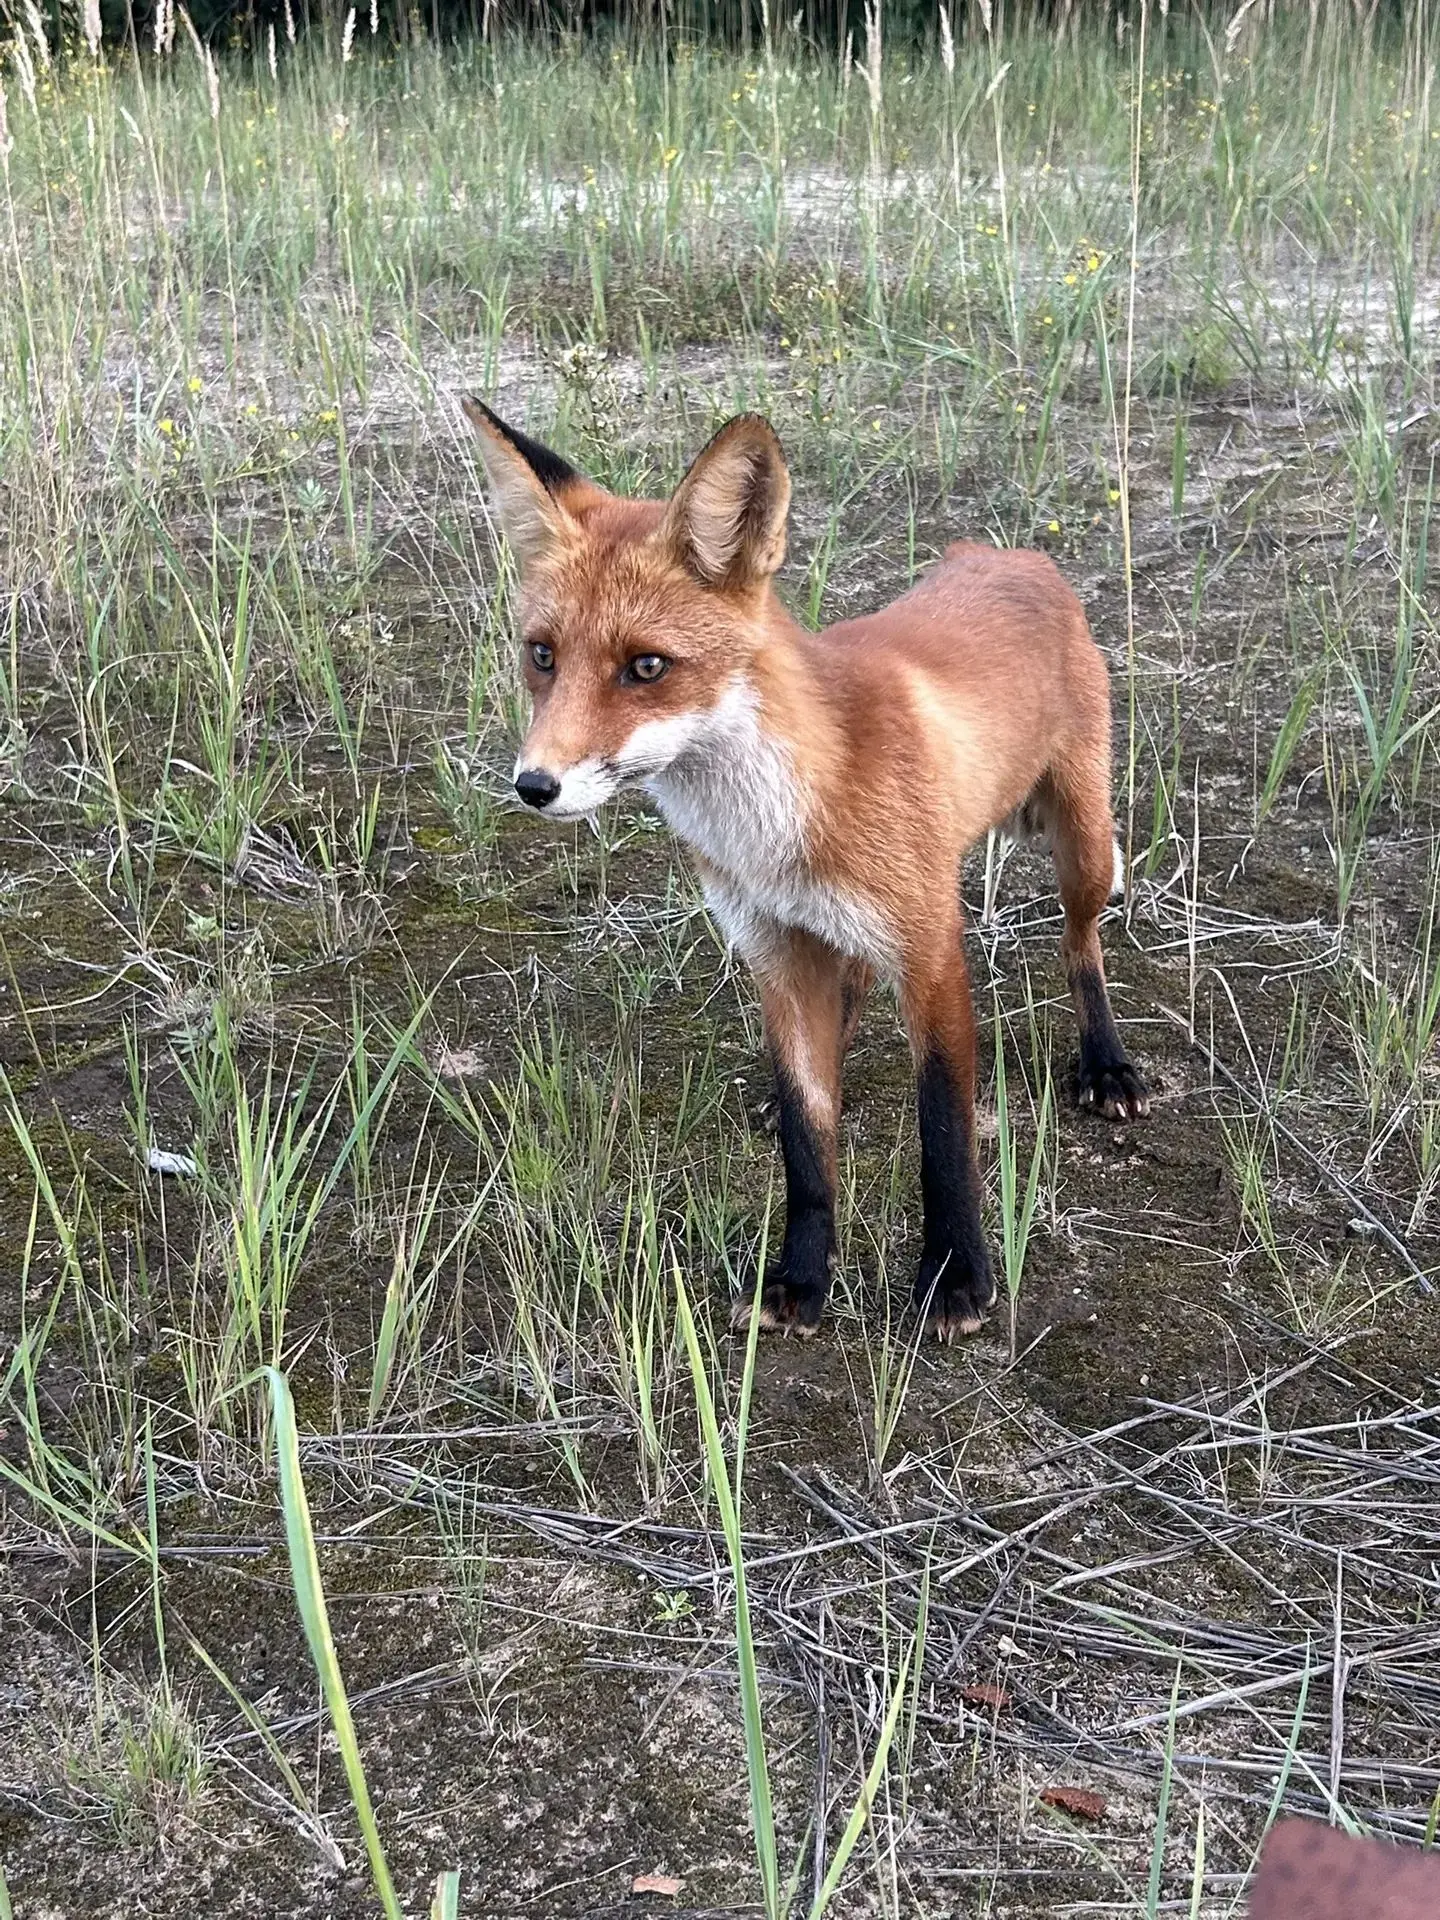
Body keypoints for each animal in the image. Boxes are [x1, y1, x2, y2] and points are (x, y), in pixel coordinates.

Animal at [463, 397, 1148, 1341]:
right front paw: (801, 1275)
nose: (534, 786)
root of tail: (1003, 552)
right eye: (541, 655)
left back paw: (1106, 1064)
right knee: (851, 989)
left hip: (1082, 844)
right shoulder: (772, 948)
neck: (777, 829)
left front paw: (956, 1277)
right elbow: (804, 1134)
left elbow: (944, 1132)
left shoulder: (930, 950)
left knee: (1082, 945)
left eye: (647, 666)